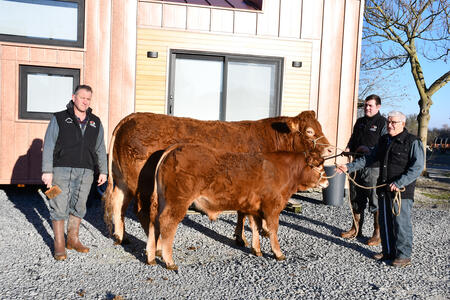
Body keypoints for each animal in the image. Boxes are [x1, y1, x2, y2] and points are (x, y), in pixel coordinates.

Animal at [103, 111, 332, 245]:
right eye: (310, 131)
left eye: (320, 127)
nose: (330, 148)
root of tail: (132, 117)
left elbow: (242, 213)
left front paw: (243, 235)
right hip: (140, 182)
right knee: (139, 210)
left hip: (123, 180)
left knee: (118, 203)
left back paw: (121, 236)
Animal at [148, 143, 326, 270]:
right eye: (319, 165)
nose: (326, 181)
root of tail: (174, 148)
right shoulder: (272, 208)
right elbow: (273, 230)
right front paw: (278, 253)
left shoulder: (254, 207)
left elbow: (255, 227)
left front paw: (257, 250)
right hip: (177, 201)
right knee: (167, 223)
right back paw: (169, 260)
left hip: (163, 200)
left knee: (154, 221)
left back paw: (152, 255)